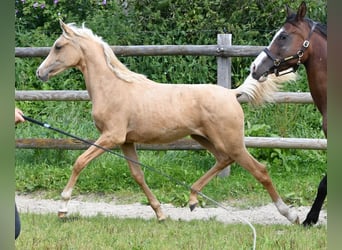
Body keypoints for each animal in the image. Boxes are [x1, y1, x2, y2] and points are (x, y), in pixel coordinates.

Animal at [34, 19, 298, 223]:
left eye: (58, 46)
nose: (40, 72)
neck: (114, 88)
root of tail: (232, 93)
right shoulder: (126, 141)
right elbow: (138, 175)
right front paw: (160, 214)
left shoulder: (111, 137)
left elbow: (79, 162)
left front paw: (62, 208)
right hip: (205, 138)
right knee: (223, 160)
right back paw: (192, 200)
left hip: (231, 142)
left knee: (260, 170)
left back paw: (290, 215)